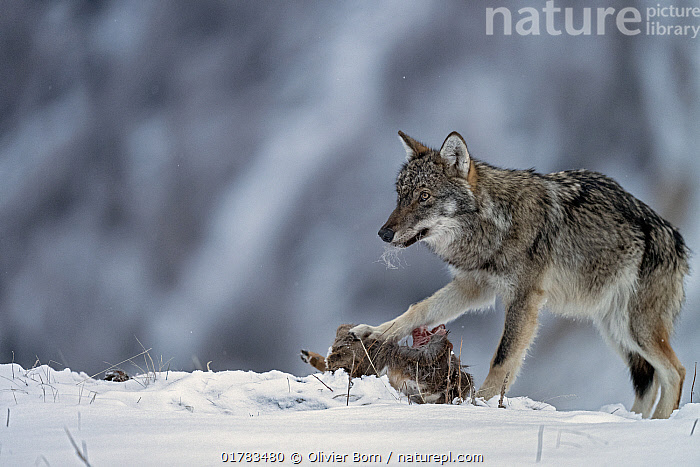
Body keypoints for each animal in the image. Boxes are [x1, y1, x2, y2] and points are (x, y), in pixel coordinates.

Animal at [351, 131, 689, 418]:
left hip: (636, 328)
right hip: (616, 330)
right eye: (400, 196)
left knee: (675, 371)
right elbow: (418, 309)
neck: (495, 223)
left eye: (424, 196)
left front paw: (479, 404)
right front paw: (374, 332)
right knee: (650, 380)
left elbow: (503, 358)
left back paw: (658, 423)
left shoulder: (524, 299)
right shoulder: (474, 286)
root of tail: (675, 237)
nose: (383, 234)